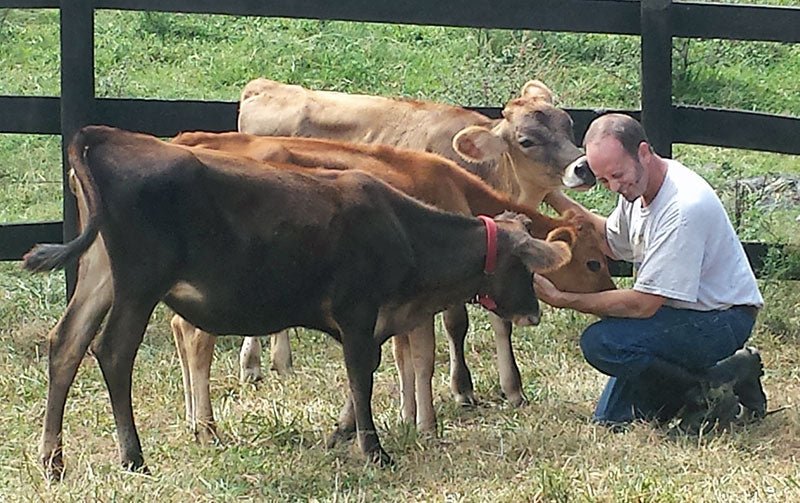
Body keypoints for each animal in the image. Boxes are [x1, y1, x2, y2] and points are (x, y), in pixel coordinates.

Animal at [23, 126, 576, 480]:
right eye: (527, 268)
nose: (533, 313)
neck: (402, 230)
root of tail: (108, 137)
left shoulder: (375, 322)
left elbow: (361, 379)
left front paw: (341, 433)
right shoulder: (358, 314)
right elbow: (361, 377)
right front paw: (374, 450)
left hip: (98, 276)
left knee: (66, 345)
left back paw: (53, 461)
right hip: (138, 284)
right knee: (113, 353)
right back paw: (133, 457)